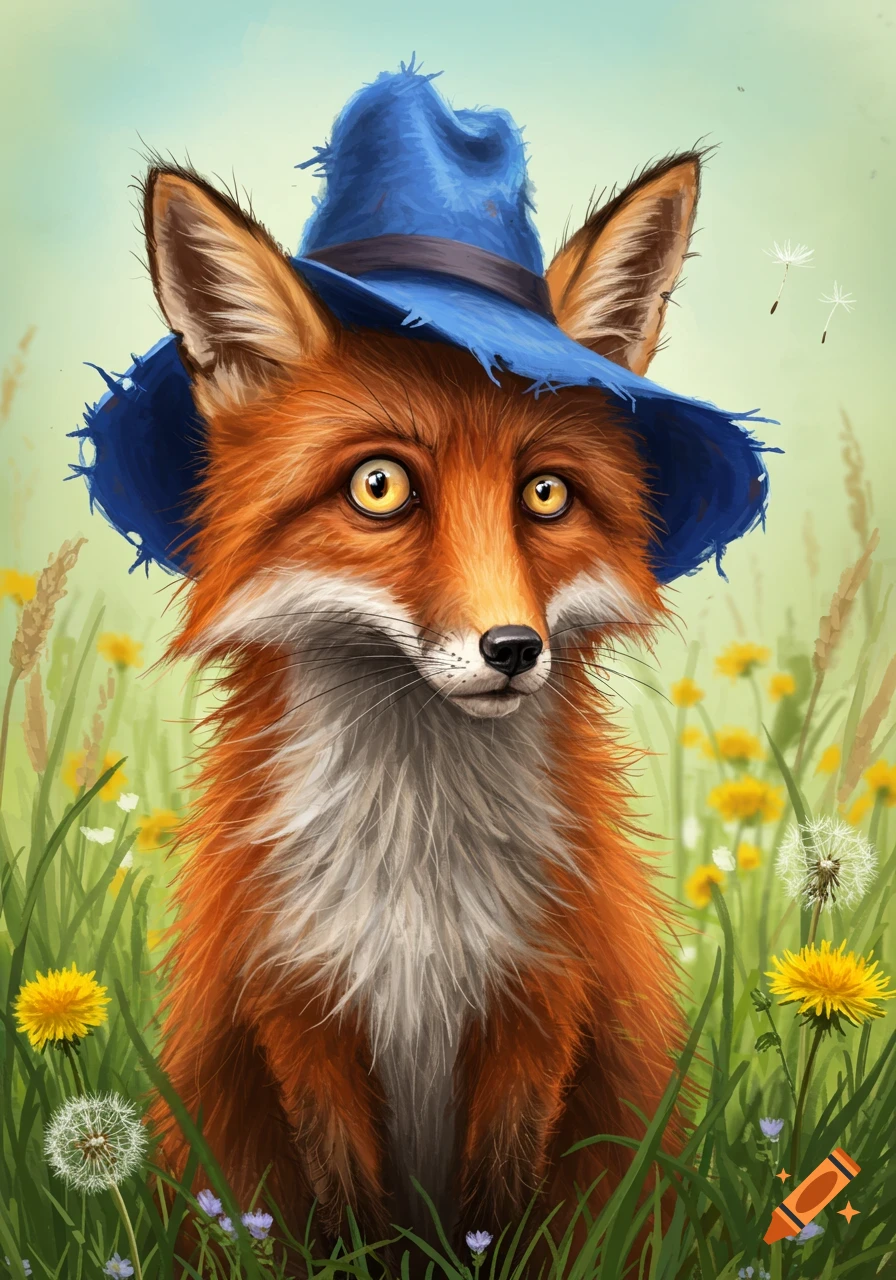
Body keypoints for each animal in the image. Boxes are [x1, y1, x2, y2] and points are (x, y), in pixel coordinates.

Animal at [143, 149, 703, 1263]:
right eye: (379, 486)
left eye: (544, 494)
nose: (513, 650)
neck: (418, 868)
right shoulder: (297, 1003)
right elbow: (349, 1210)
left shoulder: (540, 994)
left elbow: (497, 1207)